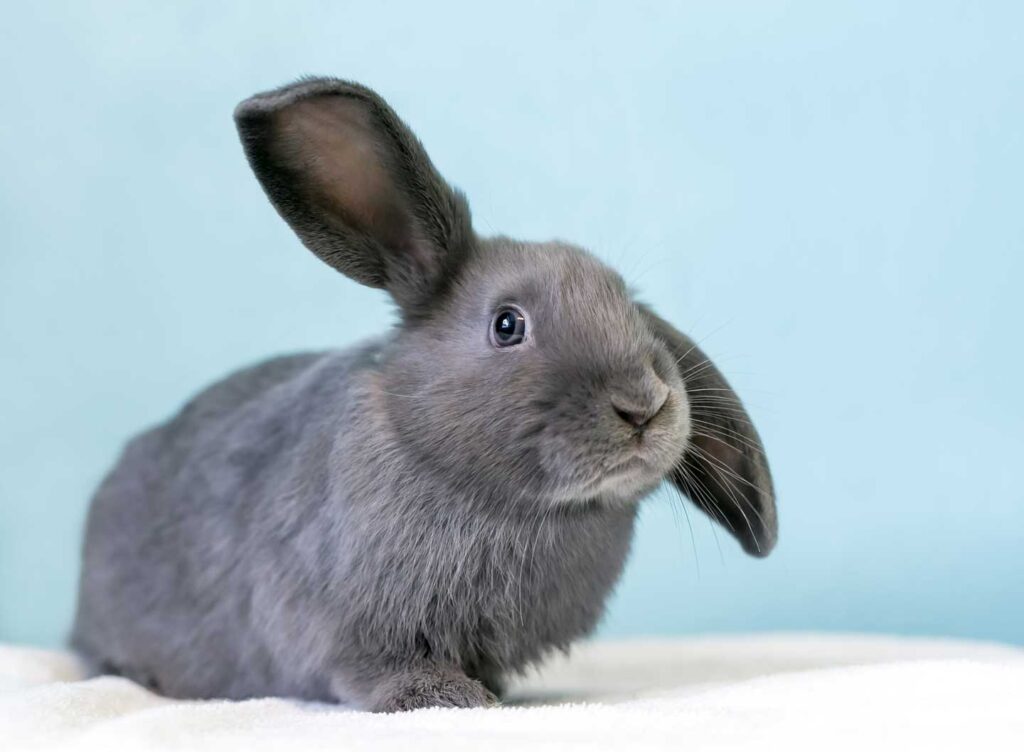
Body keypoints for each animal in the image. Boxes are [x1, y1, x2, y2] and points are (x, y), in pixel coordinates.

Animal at [72, 76, 774, 713]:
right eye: (507, 324)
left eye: (630, 308)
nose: (644, 405)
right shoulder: (344, 625)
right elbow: (372, 670)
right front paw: (443, 696)